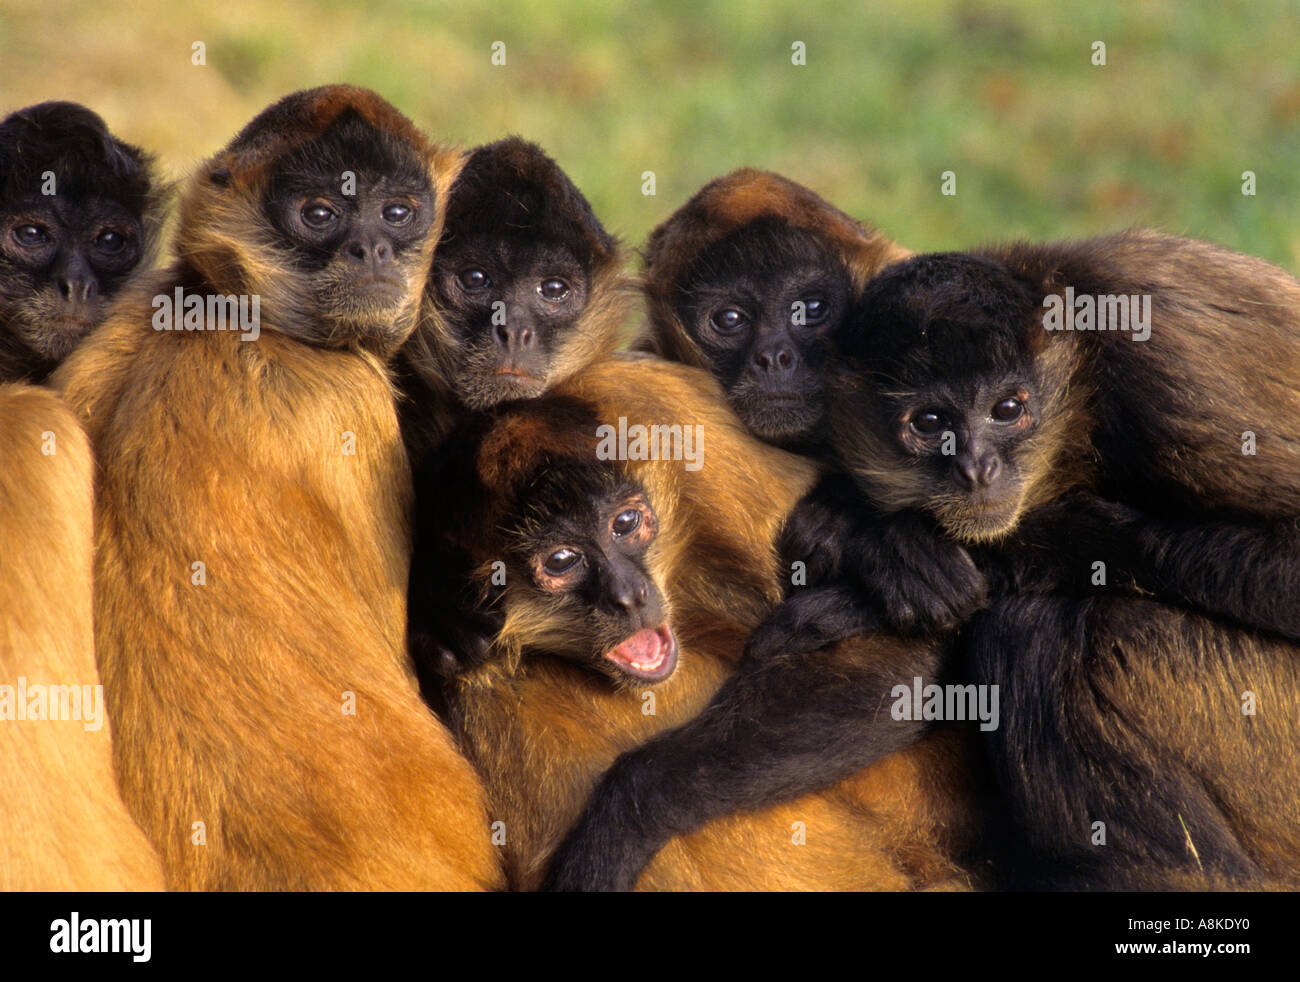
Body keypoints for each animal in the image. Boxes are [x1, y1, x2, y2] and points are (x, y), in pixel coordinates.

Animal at [419, 375, 985, 891]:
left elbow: (898, 659)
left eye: (625, 523)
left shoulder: (659, 409)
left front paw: (617, 829)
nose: (628, 595)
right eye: (561, 561)